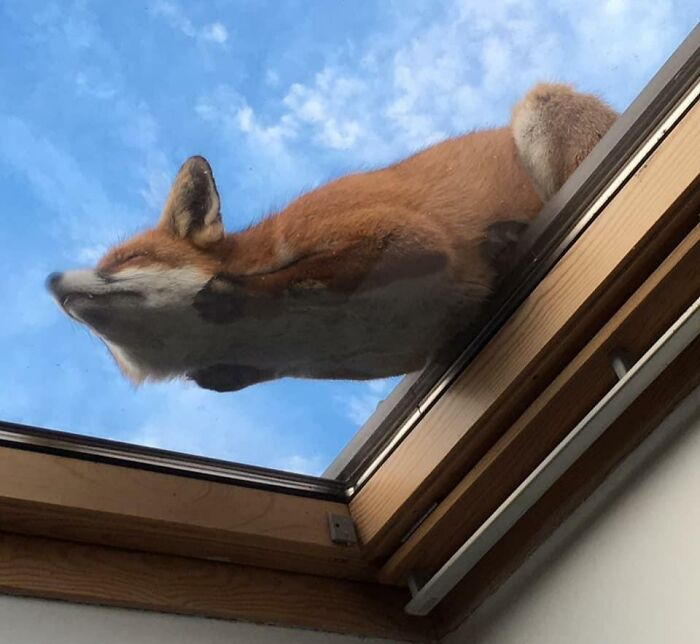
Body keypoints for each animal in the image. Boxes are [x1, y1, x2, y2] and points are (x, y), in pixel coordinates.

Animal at [47, 83, 616, 392]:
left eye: (126, 258)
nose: (50, 279)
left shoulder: (398, 236)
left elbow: (303, 276)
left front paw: (233, 291)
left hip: (539, 107)